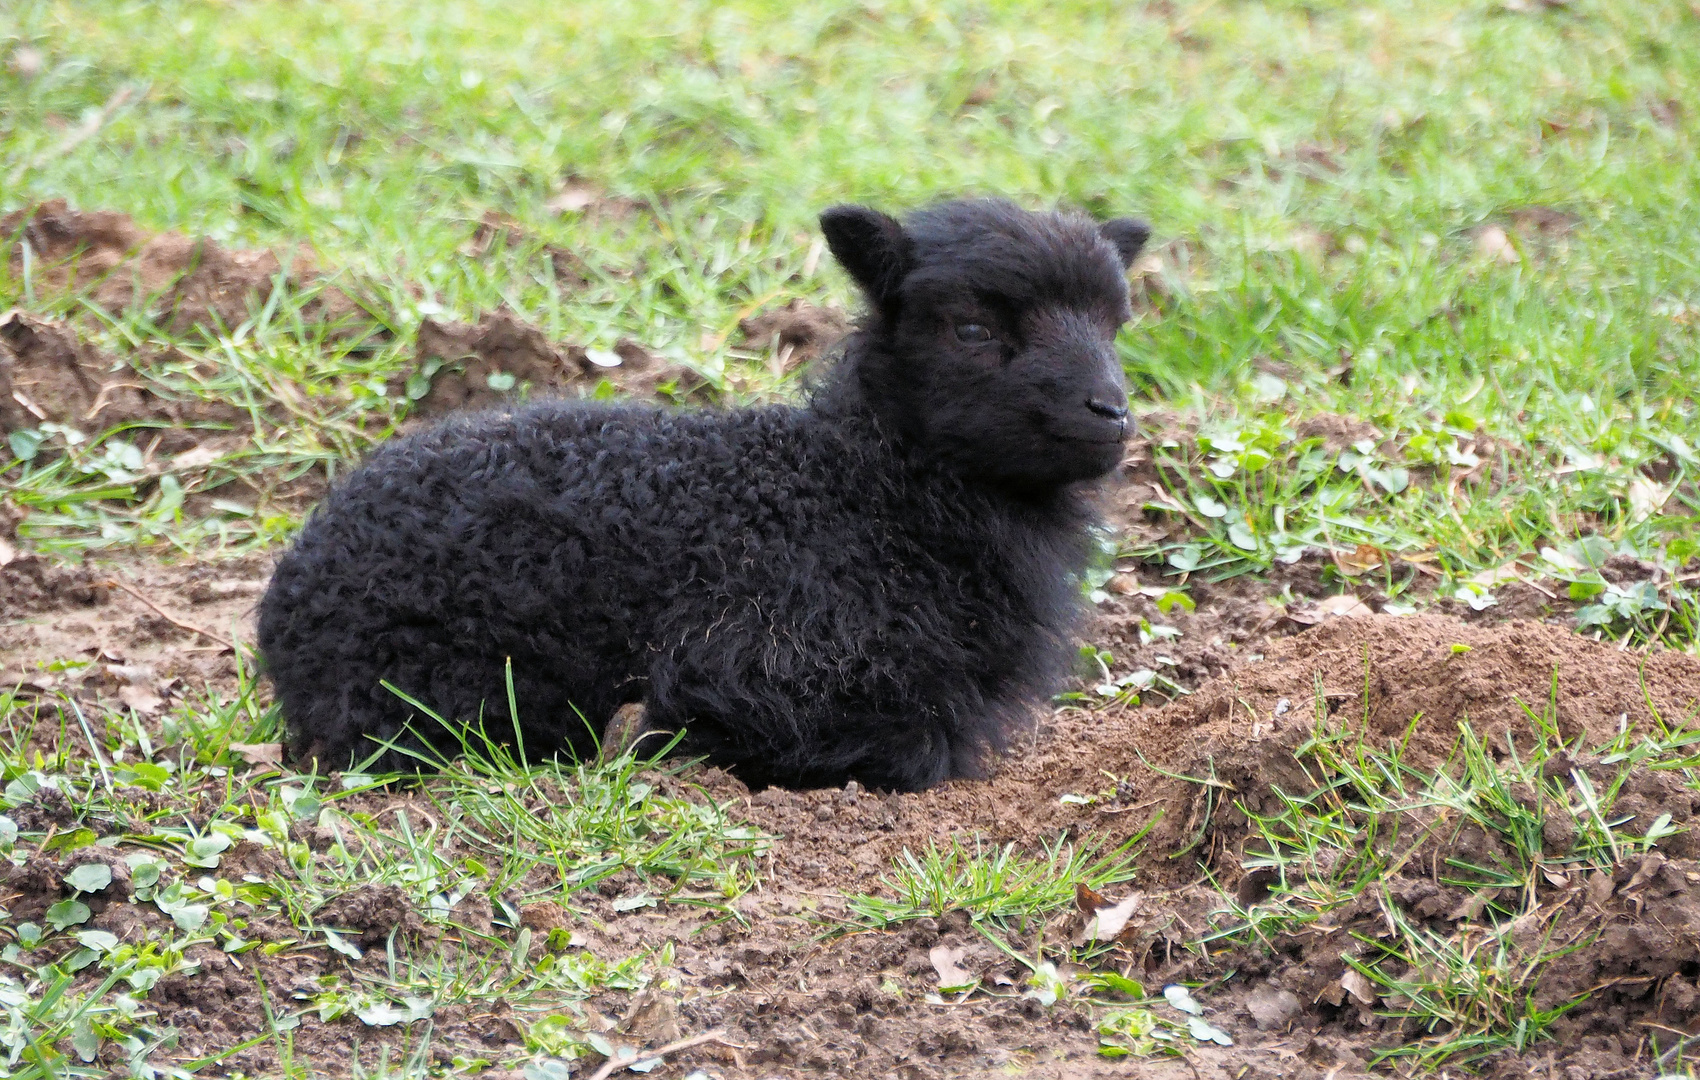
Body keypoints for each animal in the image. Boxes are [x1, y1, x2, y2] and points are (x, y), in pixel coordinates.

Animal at [255, 198, 1156, 789]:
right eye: (972, 328)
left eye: (1116, 325)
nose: (1110, 412)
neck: (860, 492)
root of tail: (284, 614)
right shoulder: (766, 663)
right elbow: (909, 748)